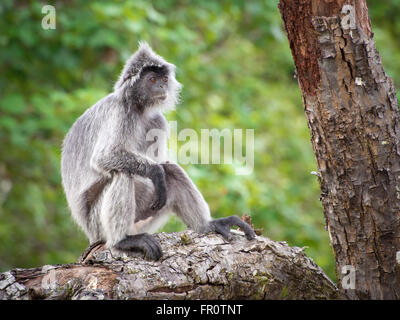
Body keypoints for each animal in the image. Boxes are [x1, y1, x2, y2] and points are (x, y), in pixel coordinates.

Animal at [62, 42, 256, 260]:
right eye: (152, 80)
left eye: (163, 80)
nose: (162, 87)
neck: (138, 109)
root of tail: (89, 233)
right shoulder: (121, 112)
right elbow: (105, 156)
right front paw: (155, 172)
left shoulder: (157, 121)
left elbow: (160, 163)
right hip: (97, 225)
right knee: (123, 173)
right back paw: (122, 240)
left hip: (144, 217)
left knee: (171, 170)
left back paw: (208, 225)